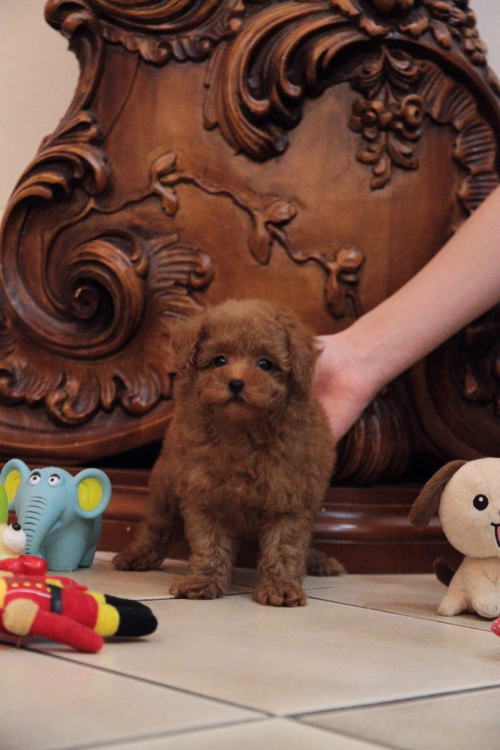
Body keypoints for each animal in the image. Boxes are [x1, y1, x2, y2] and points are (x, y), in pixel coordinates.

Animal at [113, 299, 342, 606]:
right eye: (219, 360)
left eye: (265, 364)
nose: (235, 383)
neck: (242, 431)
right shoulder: (204, 493)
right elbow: (209, 544)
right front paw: (202, 581)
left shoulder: (290, 497)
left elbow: (284, 547)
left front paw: (280, 586)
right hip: (166, 487)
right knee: (156, 525)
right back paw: (136, 555)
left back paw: (318, 561)